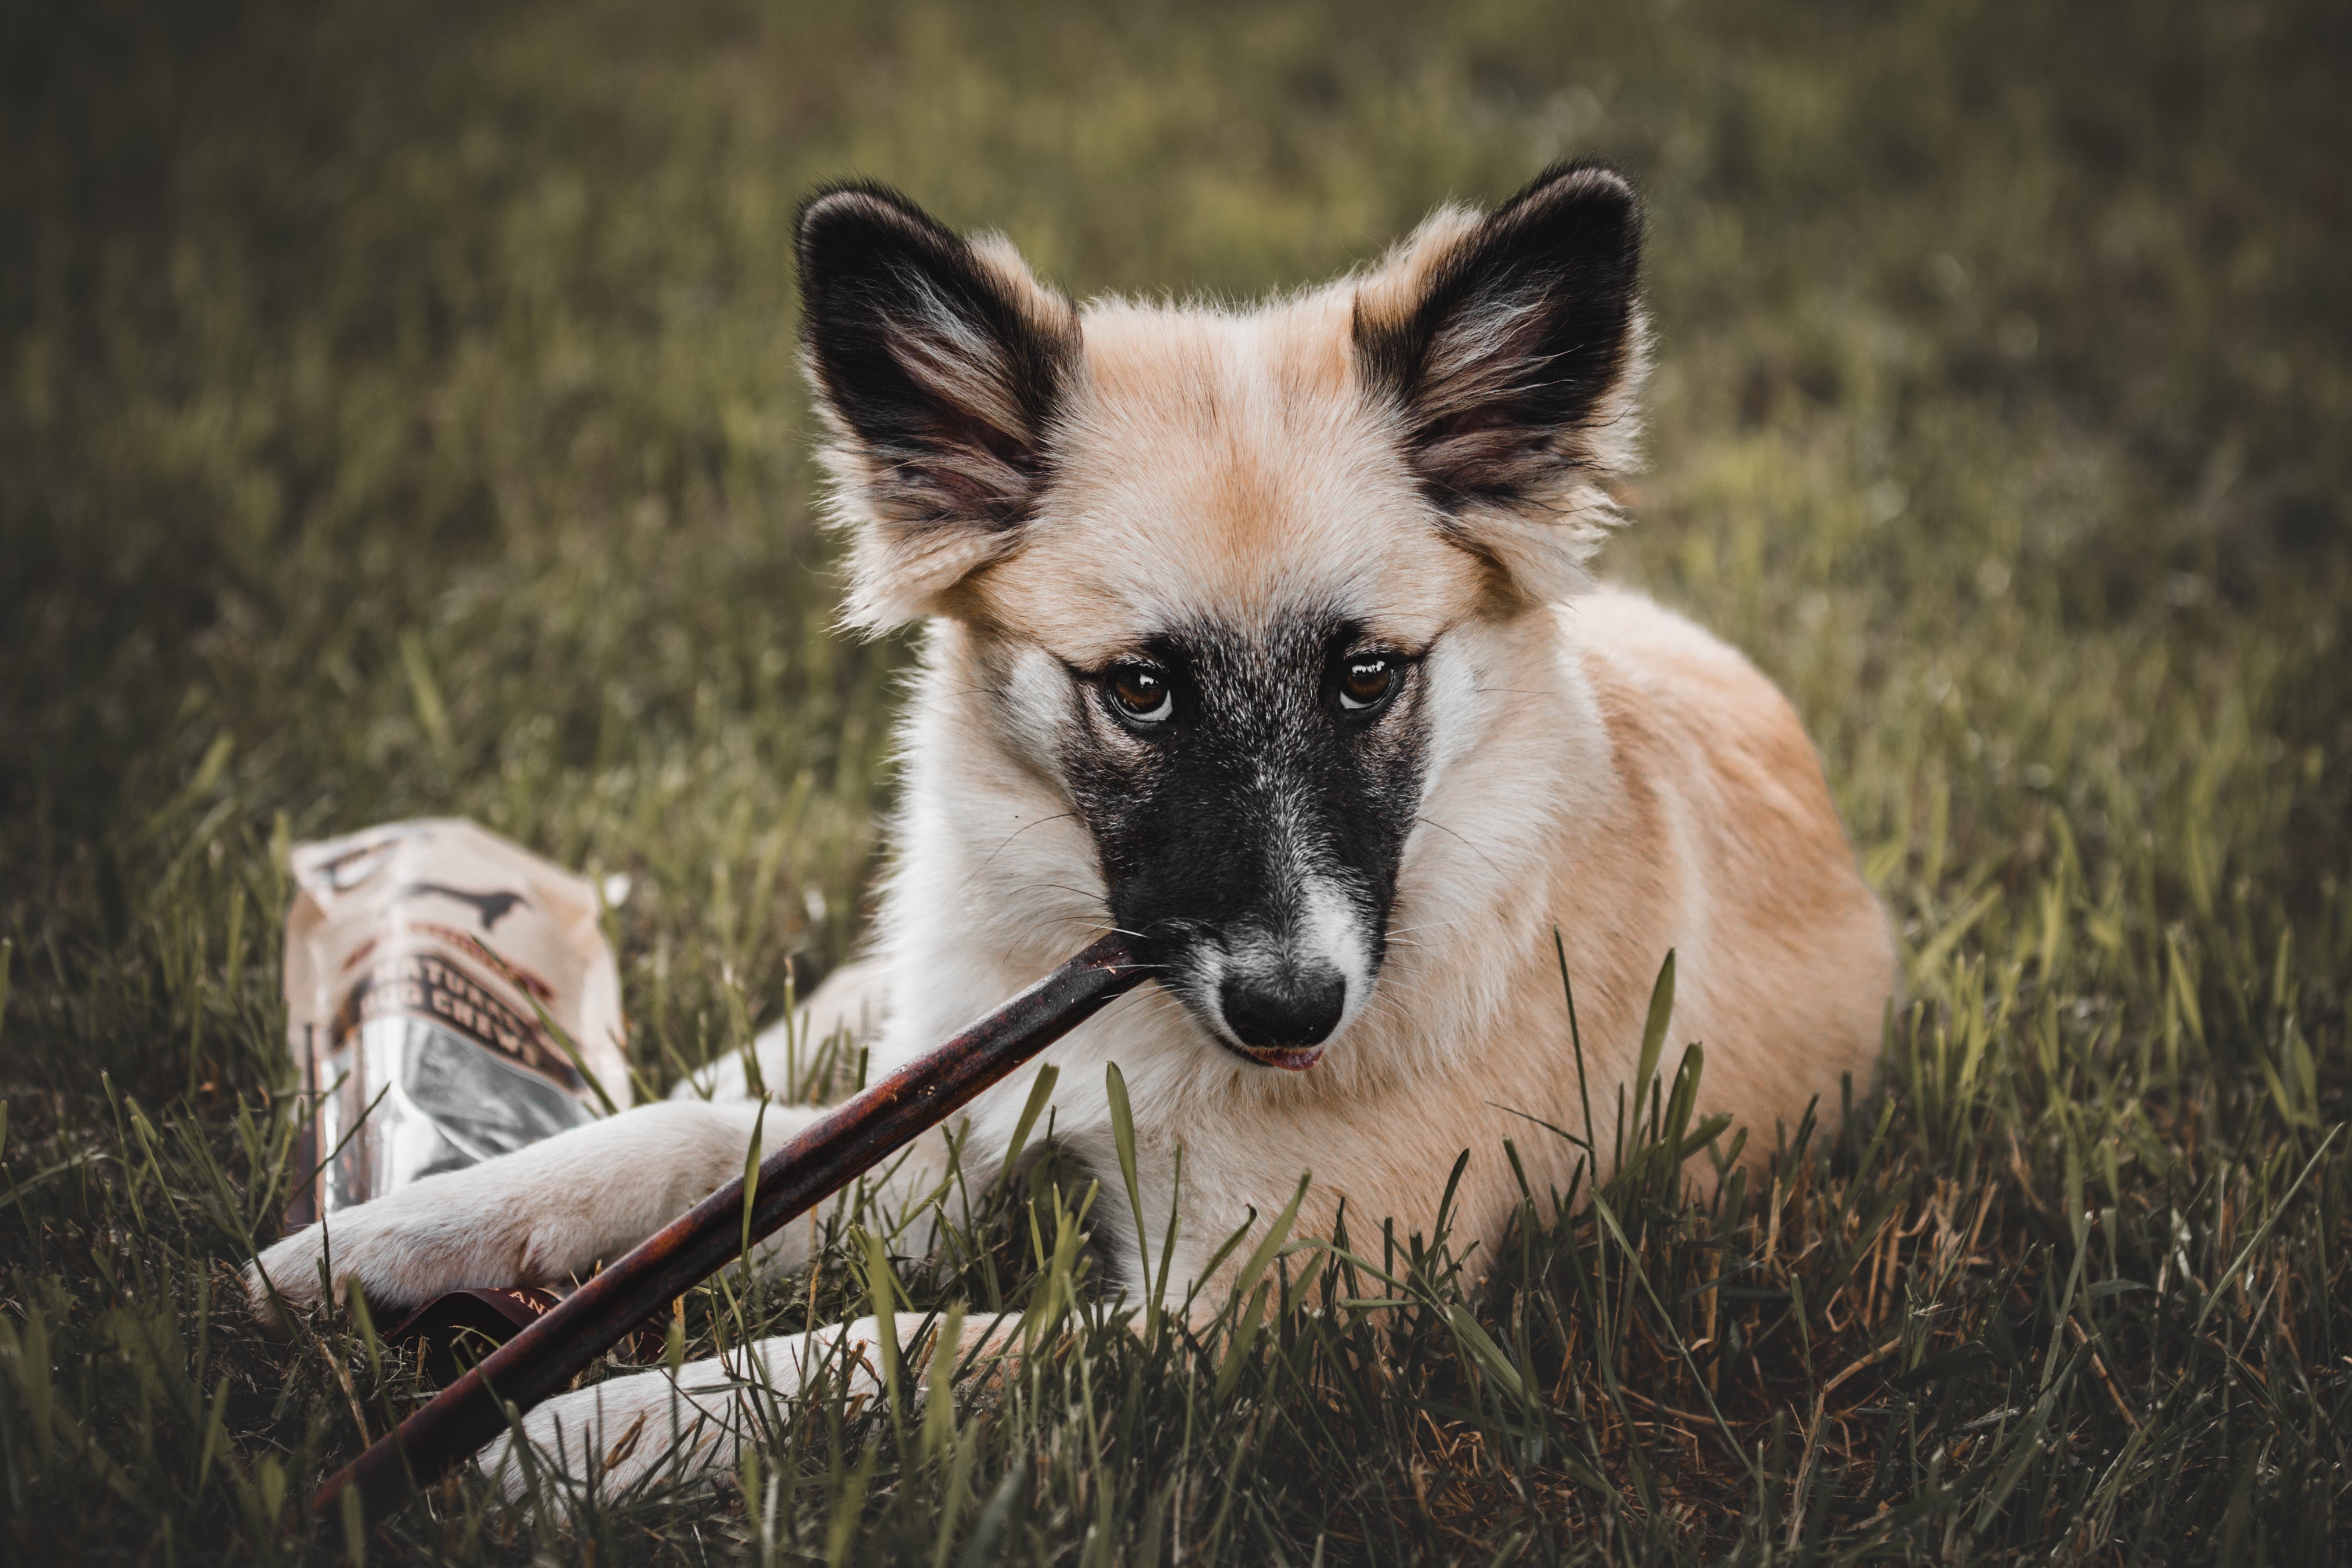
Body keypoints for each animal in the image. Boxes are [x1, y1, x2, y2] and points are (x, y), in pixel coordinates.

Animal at [243, 162, 1891, 1495]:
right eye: (1139, 690)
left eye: (1368, 676)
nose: (1292, 1008)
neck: (1130, 1023)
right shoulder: (936, 1141)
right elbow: (686, 1150)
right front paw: (381, 1244)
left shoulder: (1242, 1318)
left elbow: (890, 1347)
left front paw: (588, 1429)